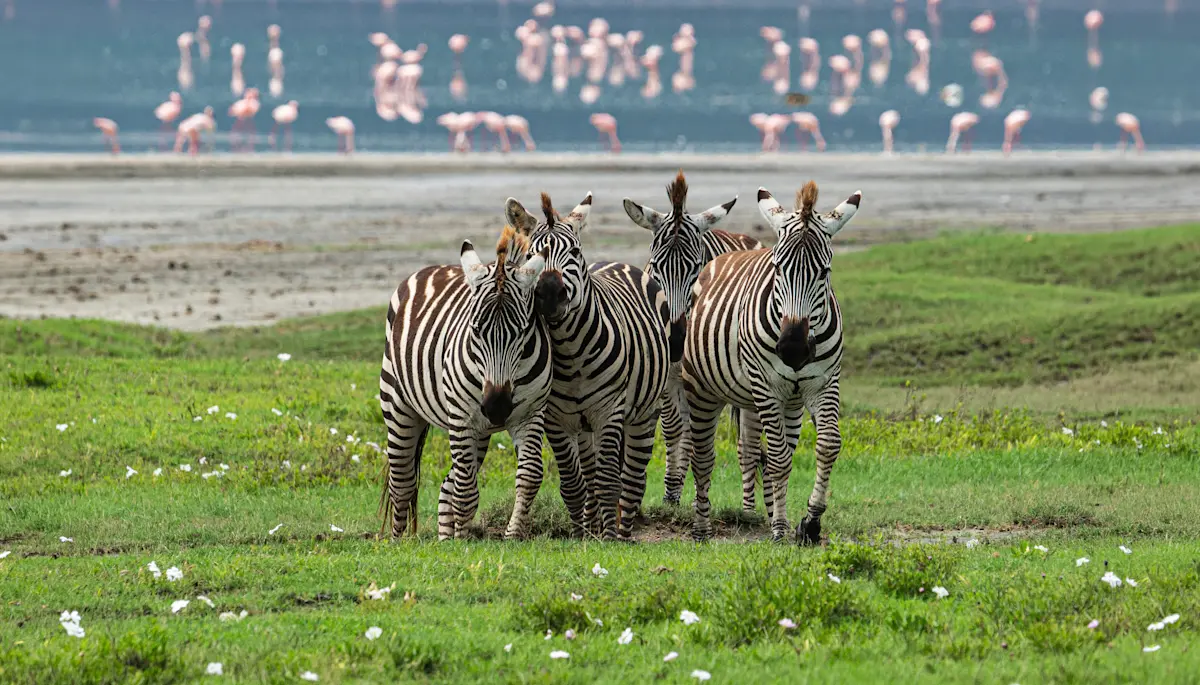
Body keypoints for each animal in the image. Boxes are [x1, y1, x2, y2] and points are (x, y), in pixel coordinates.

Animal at [379, 226, 553, 540]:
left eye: (523, 332)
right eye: (475, 330)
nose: (496, 408)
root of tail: (428, 269)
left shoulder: (531, 413)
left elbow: (530, 475)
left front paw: (512, 535)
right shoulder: (461, 417)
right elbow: (465, 490)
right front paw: (462, 541)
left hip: (479, 430)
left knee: (447, 484)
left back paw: (444, 538)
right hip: (398, 403)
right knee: (403, 482)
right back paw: (399, 541)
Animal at [506, 191, 670, 540]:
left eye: (574, 251)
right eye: (530, 255)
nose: (549, 293)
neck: (571, 355)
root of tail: (619, 263)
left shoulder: (609, 411)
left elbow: (609, 481)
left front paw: (608, 539)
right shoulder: (555, 418)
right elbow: (573, 483)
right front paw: (582, 534)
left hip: (646, 412)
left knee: (632, 479)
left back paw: (623, 532)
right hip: (582, 425)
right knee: (591, 472)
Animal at [620, 171, 773, 516]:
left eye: (696, 266)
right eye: (656, 266)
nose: (676, 340)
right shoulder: (669, 377)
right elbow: (675, 429)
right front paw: (671, 495)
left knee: (747, 443)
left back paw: (747, 510)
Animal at [682, 180, 861, 543]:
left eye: (824, 272)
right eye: (778, 268)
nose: (792, 349)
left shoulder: (824, 382)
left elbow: (827, 445)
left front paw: (809, 522)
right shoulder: (766, 386)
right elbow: (777, 457)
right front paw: (779, 528)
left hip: (787, 401)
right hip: (702, 390)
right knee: (702, 456)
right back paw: (701, 528)